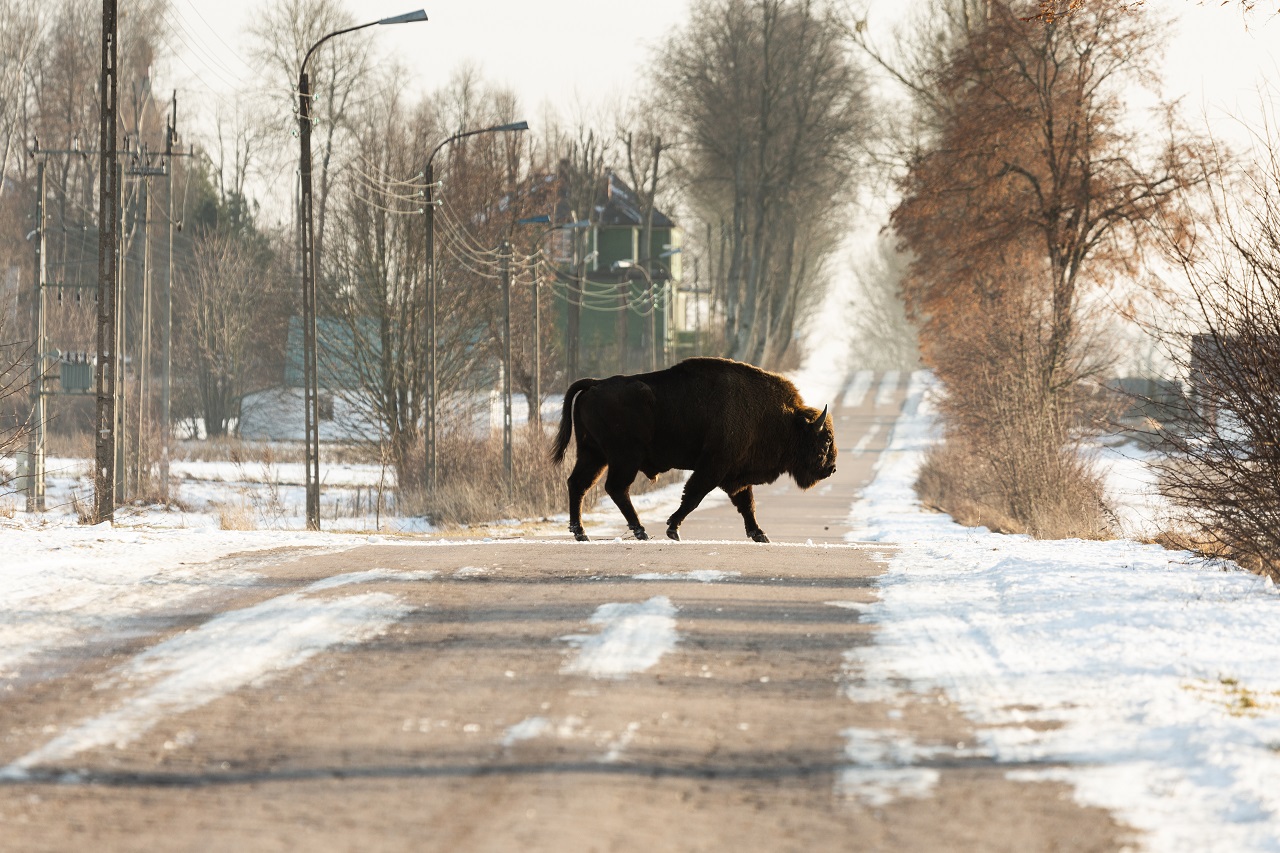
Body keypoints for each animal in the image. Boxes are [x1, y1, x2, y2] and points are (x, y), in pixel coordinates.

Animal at [545, 356, 834, 540]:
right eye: (826, 440)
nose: (831, 469)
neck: (783, 419)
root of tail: (595, 384)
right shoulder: (714, 467)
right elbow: (694, 496)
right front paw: (673, 530)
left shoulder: (734, 474)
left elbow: (746, 504)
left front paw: (760, 535)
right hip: (623, 458)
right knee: (615, 488)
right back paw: (640, 531)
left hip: (594, 454)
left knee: (579, 484)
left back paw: (581, 533)